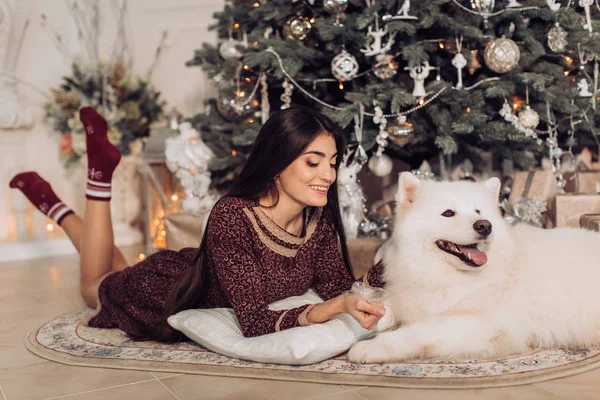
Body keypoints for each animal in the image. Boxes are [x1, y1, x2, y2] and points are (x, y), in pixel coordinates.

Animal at [346, 172, 600, 362]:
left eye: (478, 211)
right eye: (448, 213)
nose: (484, 225)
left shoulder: (486, 325)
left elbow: (418, 330)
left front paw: (372, 348)